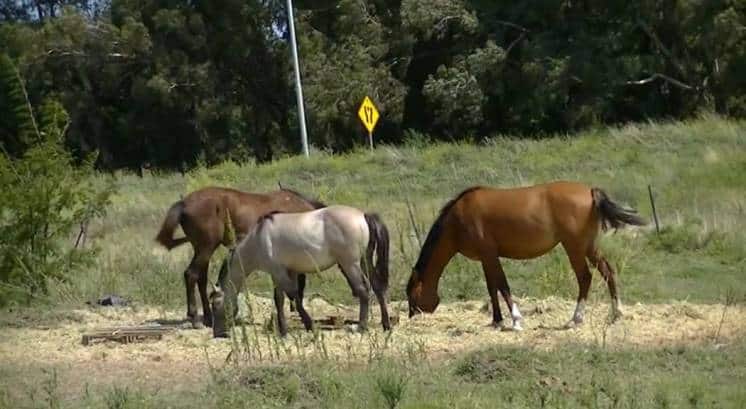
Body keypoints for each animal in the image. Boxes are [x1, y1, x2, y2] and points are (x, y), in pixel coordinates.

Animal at [154, 186, 322, 326]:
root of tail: (184, 203)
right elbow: (297, 285)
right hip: (205, 248)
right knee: (191, 274)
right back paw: (194, 317)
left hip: (202, 250)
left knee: (201, 279)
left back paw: (208, 318)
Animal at [209, 206, 390, 336]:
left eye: (215, 305)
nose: (218, 333)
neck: (258, 238)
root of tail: (363, 215)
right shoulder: (283, 273)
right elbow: (280, 299)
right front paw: (283, 330)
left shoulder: (279, 272)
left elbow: (294, 297)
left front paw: (309, 325)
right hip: (364, 261)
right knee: (377, 288)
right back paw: (386, 324)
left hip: (350, 264)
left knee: (363, 291)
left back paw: (361, 327)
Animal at [404, 181, 644, 328]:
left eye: (411, 294)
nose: (411, 317)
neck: (457, 219)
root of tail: (590, 192)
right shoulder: (486, 258)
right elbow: (492, 287)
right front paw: (497, 321)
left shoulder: (490, 255)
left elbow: (502, 285)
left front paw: (516, 320)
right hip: (588, 246)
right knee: (607, 271)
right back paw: (616, 313)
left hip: (574, 247)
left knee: (585, 277)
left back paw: (575, 319)